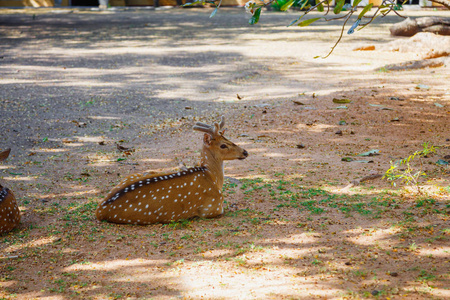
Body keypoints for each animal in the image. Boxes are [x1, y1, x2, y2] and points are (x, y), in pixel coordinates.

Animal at [96, 116, 248, 224]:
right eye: (223, 145)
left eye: (228, 139)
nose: (245, 152)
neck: (212, 177)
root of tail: (99, 211)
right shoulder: (212, 207)